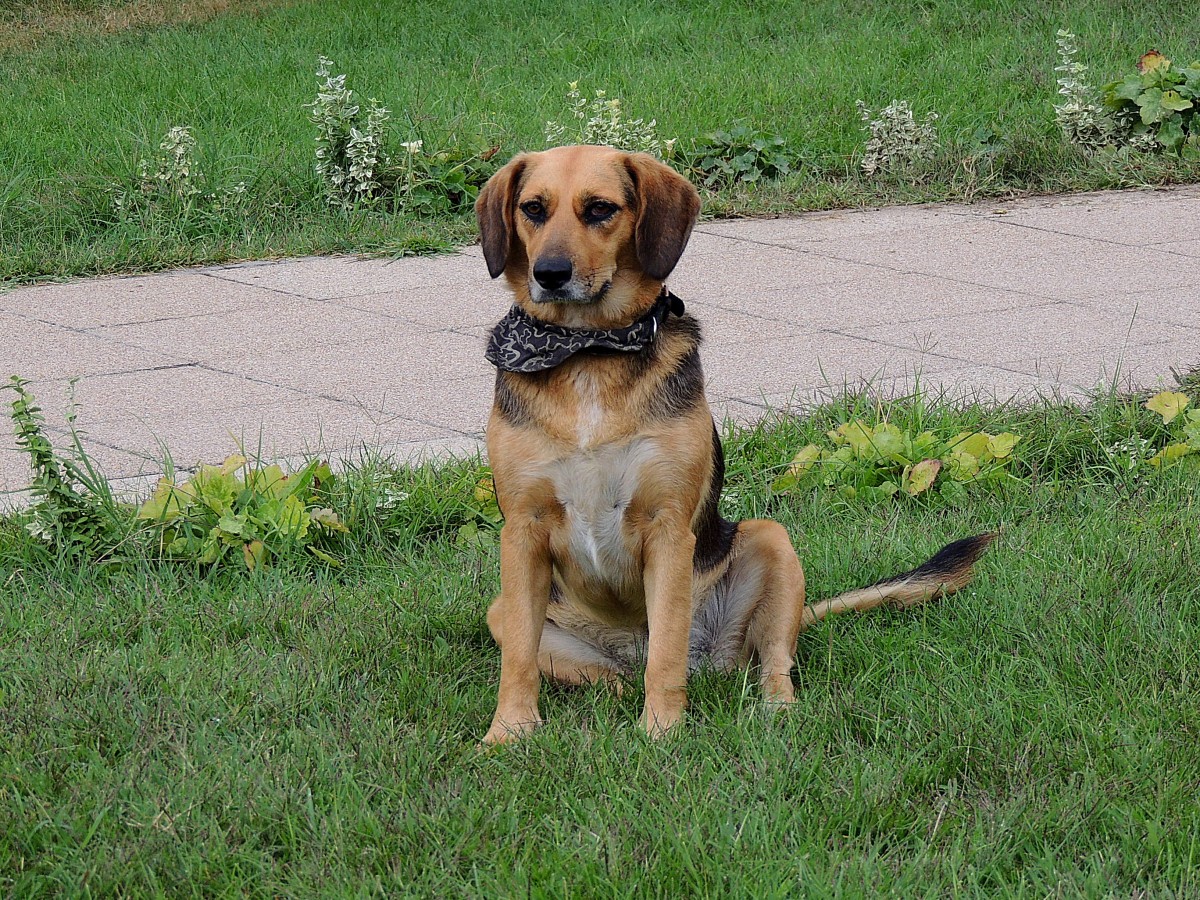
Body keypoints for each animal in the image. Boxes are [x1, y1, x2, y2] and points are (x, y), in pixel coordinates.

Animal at [472, 142, 988, 748]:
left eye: (599, 209)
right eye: (532, 208)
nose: (549, 274)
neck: (588, 353)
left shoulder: (668, 529)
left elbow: (667, 652)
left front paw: (661, 733)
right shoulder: (522, 532)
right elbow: (518, 660)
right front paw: (509, 732)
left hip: (772, 543)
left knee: (768, 661)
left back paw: (775, 711)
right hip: (507, 611)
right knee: (603, 677)